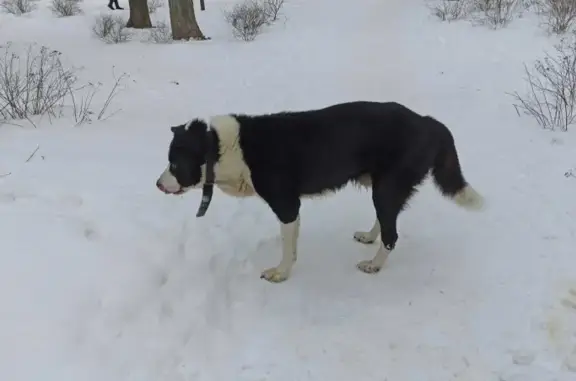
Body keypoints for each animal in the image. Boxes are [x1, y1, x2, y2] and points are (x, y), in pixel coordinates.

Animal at [155, 101, 484, 282]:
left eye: (174, 162)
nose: (158, 184)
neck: (223, 147)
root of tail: (427, 122)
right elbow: (292, 243)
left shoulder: (286, 205)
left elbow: (287, 246)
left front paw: (281, 273)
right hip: (380, 185)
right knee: (384, 221)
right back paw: (369, 236)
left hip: (388, 186)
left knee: (392, 234)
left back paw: (374, 265)